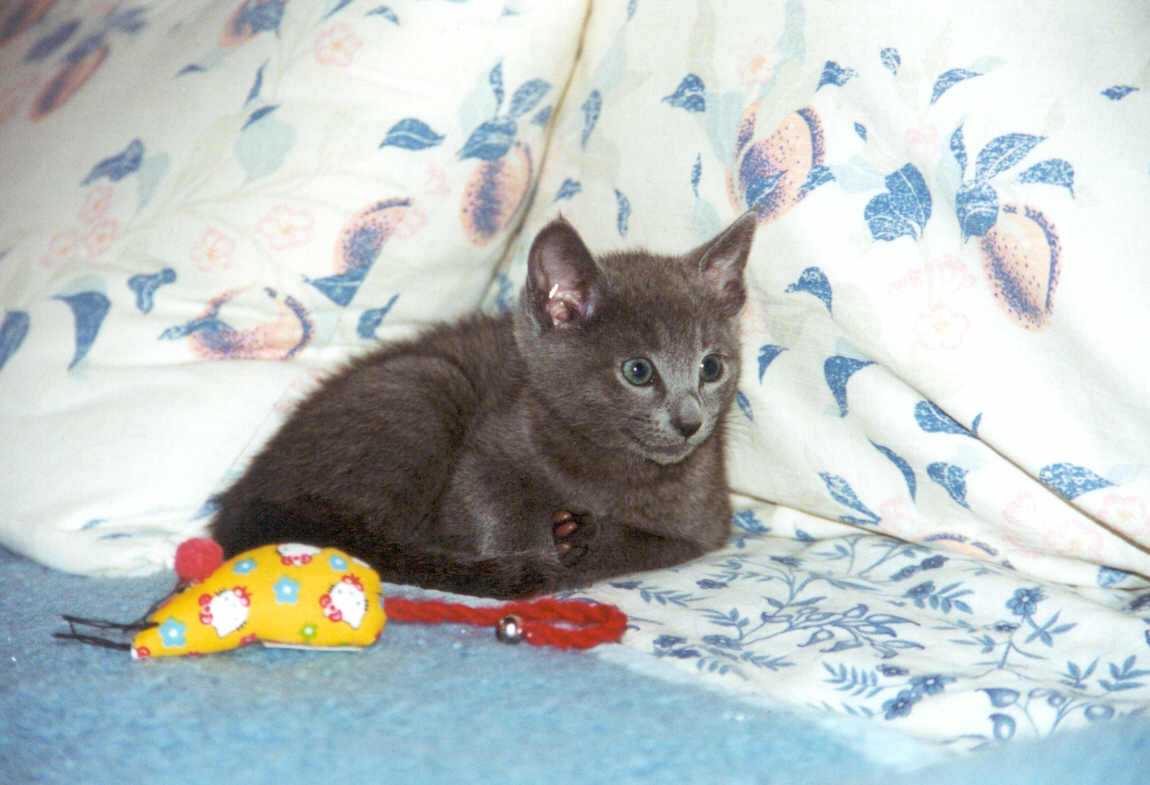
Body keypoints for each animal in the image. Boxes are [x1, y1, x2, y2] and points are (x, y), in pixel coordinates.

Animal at [210, 212, 758, 598]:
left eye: (711, 367)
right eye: (638, 371)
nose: (690, 421)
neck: (614, 468)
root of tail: (241, 500)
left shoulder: (705, 521)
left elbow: (646, 545)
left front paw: (586, 541)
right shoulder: (487, 449)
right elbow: (491, 506)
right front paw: (534, 556)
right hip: (427, 381)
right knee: (369, 549)